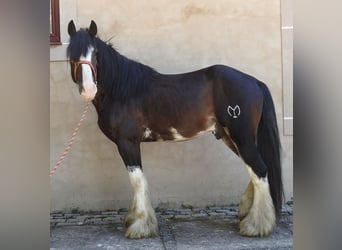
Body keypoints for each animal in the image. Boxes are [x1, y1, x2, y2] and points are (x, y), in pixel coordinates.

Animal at [67, 20, 284, 239]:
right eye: (71, 56)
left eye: (95, 54)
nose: (88, 90)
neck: (122, 91)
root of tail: (254, 82)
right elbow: (137, 181)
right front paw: (133, 218)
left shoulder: (127, 143)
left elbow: (137, 180)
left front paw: (141, 226)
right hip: (230, 137)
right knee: (254, 170)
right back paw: (247, 213)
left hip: (242, 137)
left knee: (259, 169)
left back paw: (256, 225)